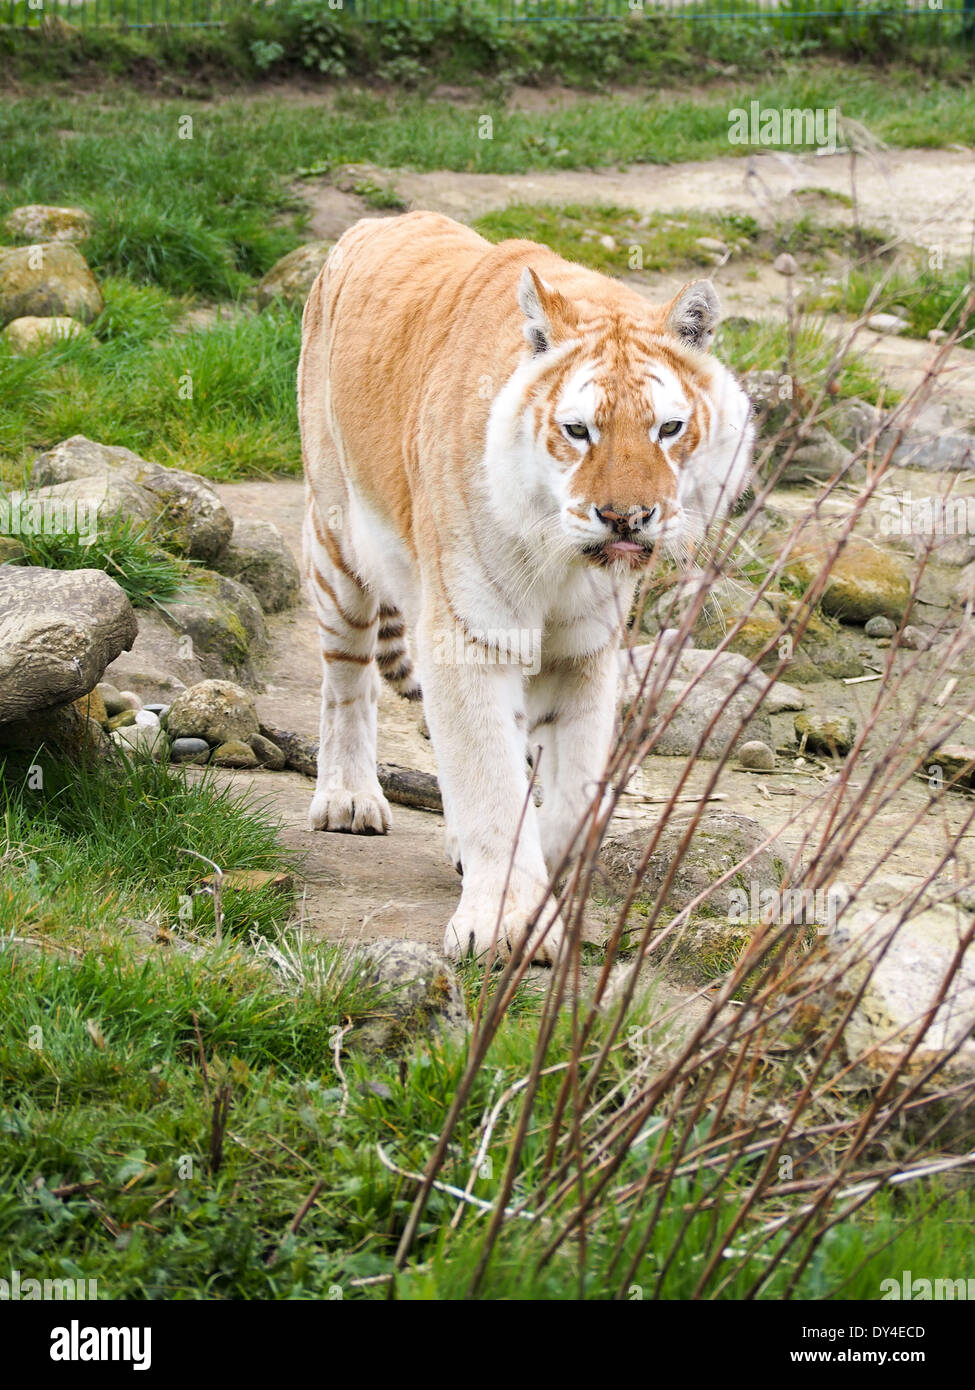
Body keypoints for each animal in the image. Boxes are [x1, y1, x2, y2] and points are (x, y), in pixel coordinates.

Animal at [296, 208, 751, 967]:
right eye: (578, 430)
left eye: (668, 428)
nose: (625, 517)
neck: (563, 561)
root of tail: (381, 220)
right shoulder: (473, 634)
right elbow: (491, 782)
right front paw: (504, 924)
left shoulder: (583, 651)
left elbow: (568, 795)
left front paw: (541, 884)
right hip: (338, 546)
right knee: (346, 680)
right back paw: (348, 798)